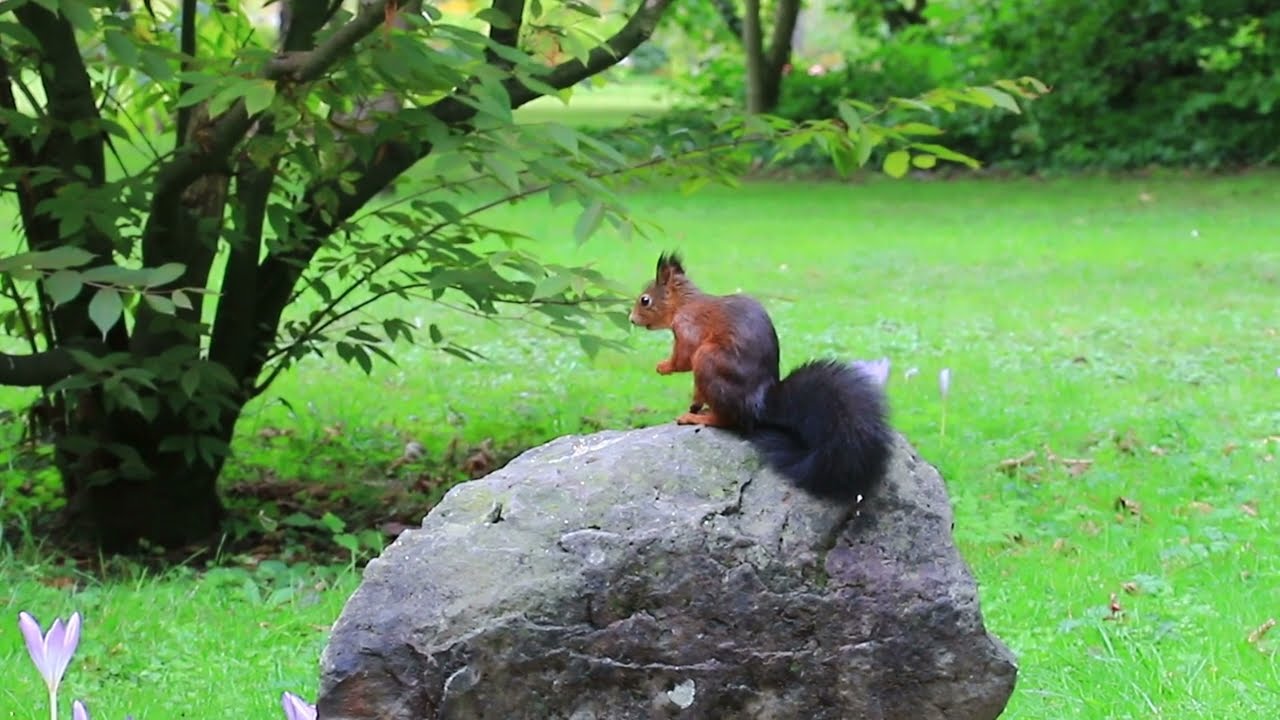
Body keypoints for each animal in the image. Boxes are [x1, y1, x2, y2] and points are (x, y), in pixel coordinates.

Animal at [629, 251, 893, 503]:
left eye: (645, 300)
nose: (631, 319)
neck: (684, 303)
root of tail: (760, 403)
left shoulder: (689, 329)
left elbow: (683, 359)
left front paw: (663, 366)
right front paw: (694, 401)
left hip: (708, 360)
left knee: (729, 421)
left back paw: (699, 418)